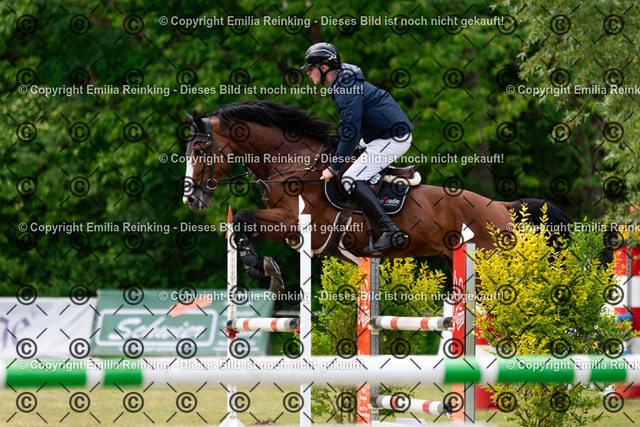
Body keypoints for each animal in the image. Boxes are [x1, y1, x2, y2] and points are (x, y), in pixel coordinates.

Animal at [182, 100, 572, 293]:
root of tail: (502, 207)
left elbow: (242, 218)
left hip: (494, 261)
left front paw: (261, 271)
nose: (190, 200)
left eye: (200, 150)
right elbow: (241, 225)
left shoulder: (297, 223)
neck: (293, 165)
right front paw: (263, 270)